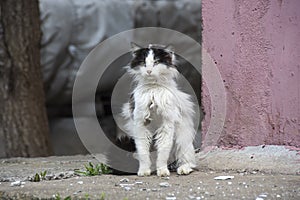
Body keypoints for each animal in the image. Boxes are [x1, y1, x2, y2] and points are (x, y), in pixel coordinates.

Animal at [122, 42, 197, 177]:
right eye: (143, 63)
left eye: (156, 62)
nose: (149, 71)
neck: (153, 90)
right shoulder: (140, 125)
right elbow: (143, 152)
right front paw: (144, 171)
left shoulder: (167, 124)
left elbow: (163, 153)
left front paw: (162, 171)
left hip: (182, 138)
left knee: (187, 160)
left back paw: (183, 169)